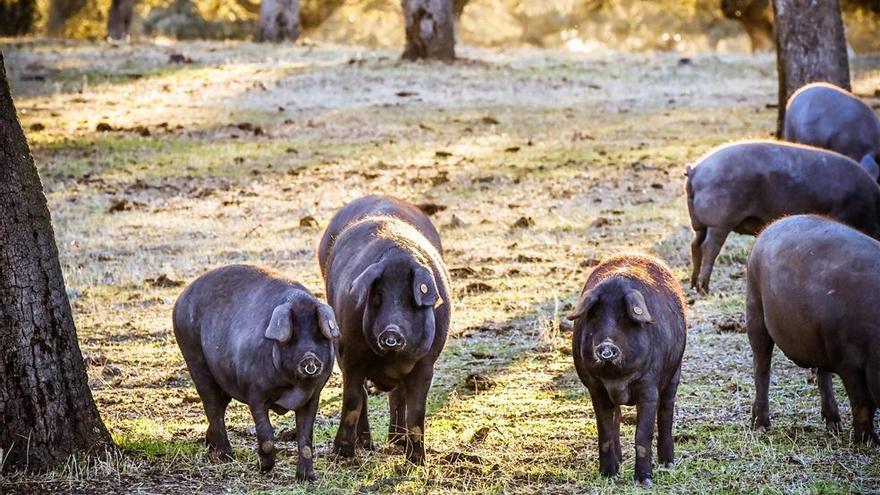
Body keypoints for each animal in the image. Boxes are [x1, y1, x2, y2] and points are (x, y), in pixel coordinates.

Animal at [173, 268, 340, 480]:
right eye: (292, 336)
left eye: (318, 334)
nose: (310, 358)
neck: (293, 388)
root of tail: (181, 298)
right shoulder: (255, 392)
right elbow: (266, 434)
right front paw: (263, 468)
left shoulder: (313, 396)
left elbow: (305, 438)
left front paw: (307, 478)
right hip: (194, 357)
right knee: (212, 407)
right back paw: (226, 456)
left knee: (219, 407)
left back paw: (211, 447)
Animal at [318, 195, 454, 464]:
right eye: (378, 295)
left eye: (411, 299)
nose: (392, 333)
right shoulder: (350, 356)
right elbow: (353, 400)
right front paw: (343, 455)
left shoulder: (427, 363)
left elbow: (417, 410)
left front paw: (417, 461)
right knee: (365, 395)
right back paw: (367, 445)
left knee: (397, 396)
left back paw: (397, 442)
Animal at [568, 254, 692, 486]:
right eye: (595, 317)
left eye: (624, 318)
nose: (606, 347)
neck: (617, 379)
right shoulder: (595, 388)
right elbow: (605, 432)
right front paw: (609, 476)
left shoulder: (648, 387)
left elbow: (642, 435)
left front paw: (644, 482)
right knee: (616, 418)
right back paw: (618, 464)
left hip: (675, 372)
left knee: (666, 412)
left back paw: (668, 464)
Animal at [688, 140, 880, 294]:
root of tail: (696, 170)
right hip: (719, 221)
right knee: (709, 247)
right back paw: (704, 289)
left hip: (700, 223)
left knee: (695, 244)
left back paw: (693, 285)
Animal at [744, 215, 880, 448]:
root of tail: (769, 227)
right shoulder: (848, 361)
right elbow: (861, 402)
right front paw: (868, 441)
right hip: (754, 308)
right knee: (761, 367)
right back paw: (761, 426)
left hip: (819, 338)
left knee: (822, 374)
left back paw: (834, 425)